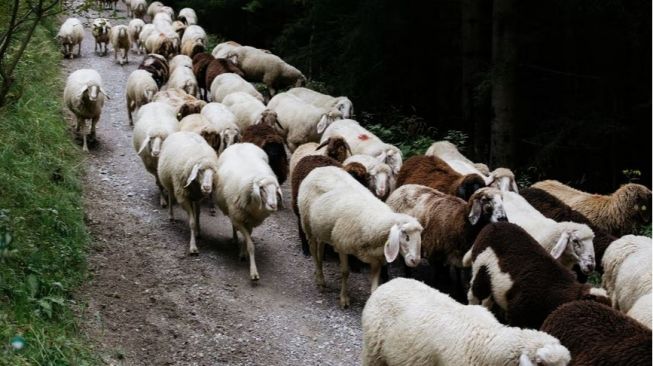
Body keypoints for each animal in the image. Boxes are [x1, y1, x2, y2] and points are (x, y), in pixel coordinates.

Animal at [213, 143, 282, 280]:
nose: (273, 205)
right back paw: (234, 238)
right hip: (232, 211)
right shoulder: (238, 218)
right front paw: (253, 272)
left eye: (276, 189)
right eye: (262, 188)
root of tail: (241, 143)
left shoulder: (251, 221)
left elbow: (247, 238)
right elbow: (250, 245)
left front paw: (243, 252)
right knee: (233, 224)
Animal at [296, 167, 420, 308]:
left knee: (320, 248)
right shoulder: (342, 245)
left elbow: (375, 287)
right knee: (313, 249)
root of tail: (320, 168)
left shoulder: (376, 258)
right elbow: (345, 272)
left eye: (420, 236)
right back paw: (320, 279)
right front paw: (344, 299)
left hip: (322, 228)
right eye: (405, 235)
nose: (415, 260)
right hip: (307, 223)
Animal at [464, 222, 612, 330]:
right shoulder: (517, 313)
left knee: (487, 301)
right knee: (473, 295)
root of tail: (493, 225)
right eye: (575, 241)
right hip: (480, 271)